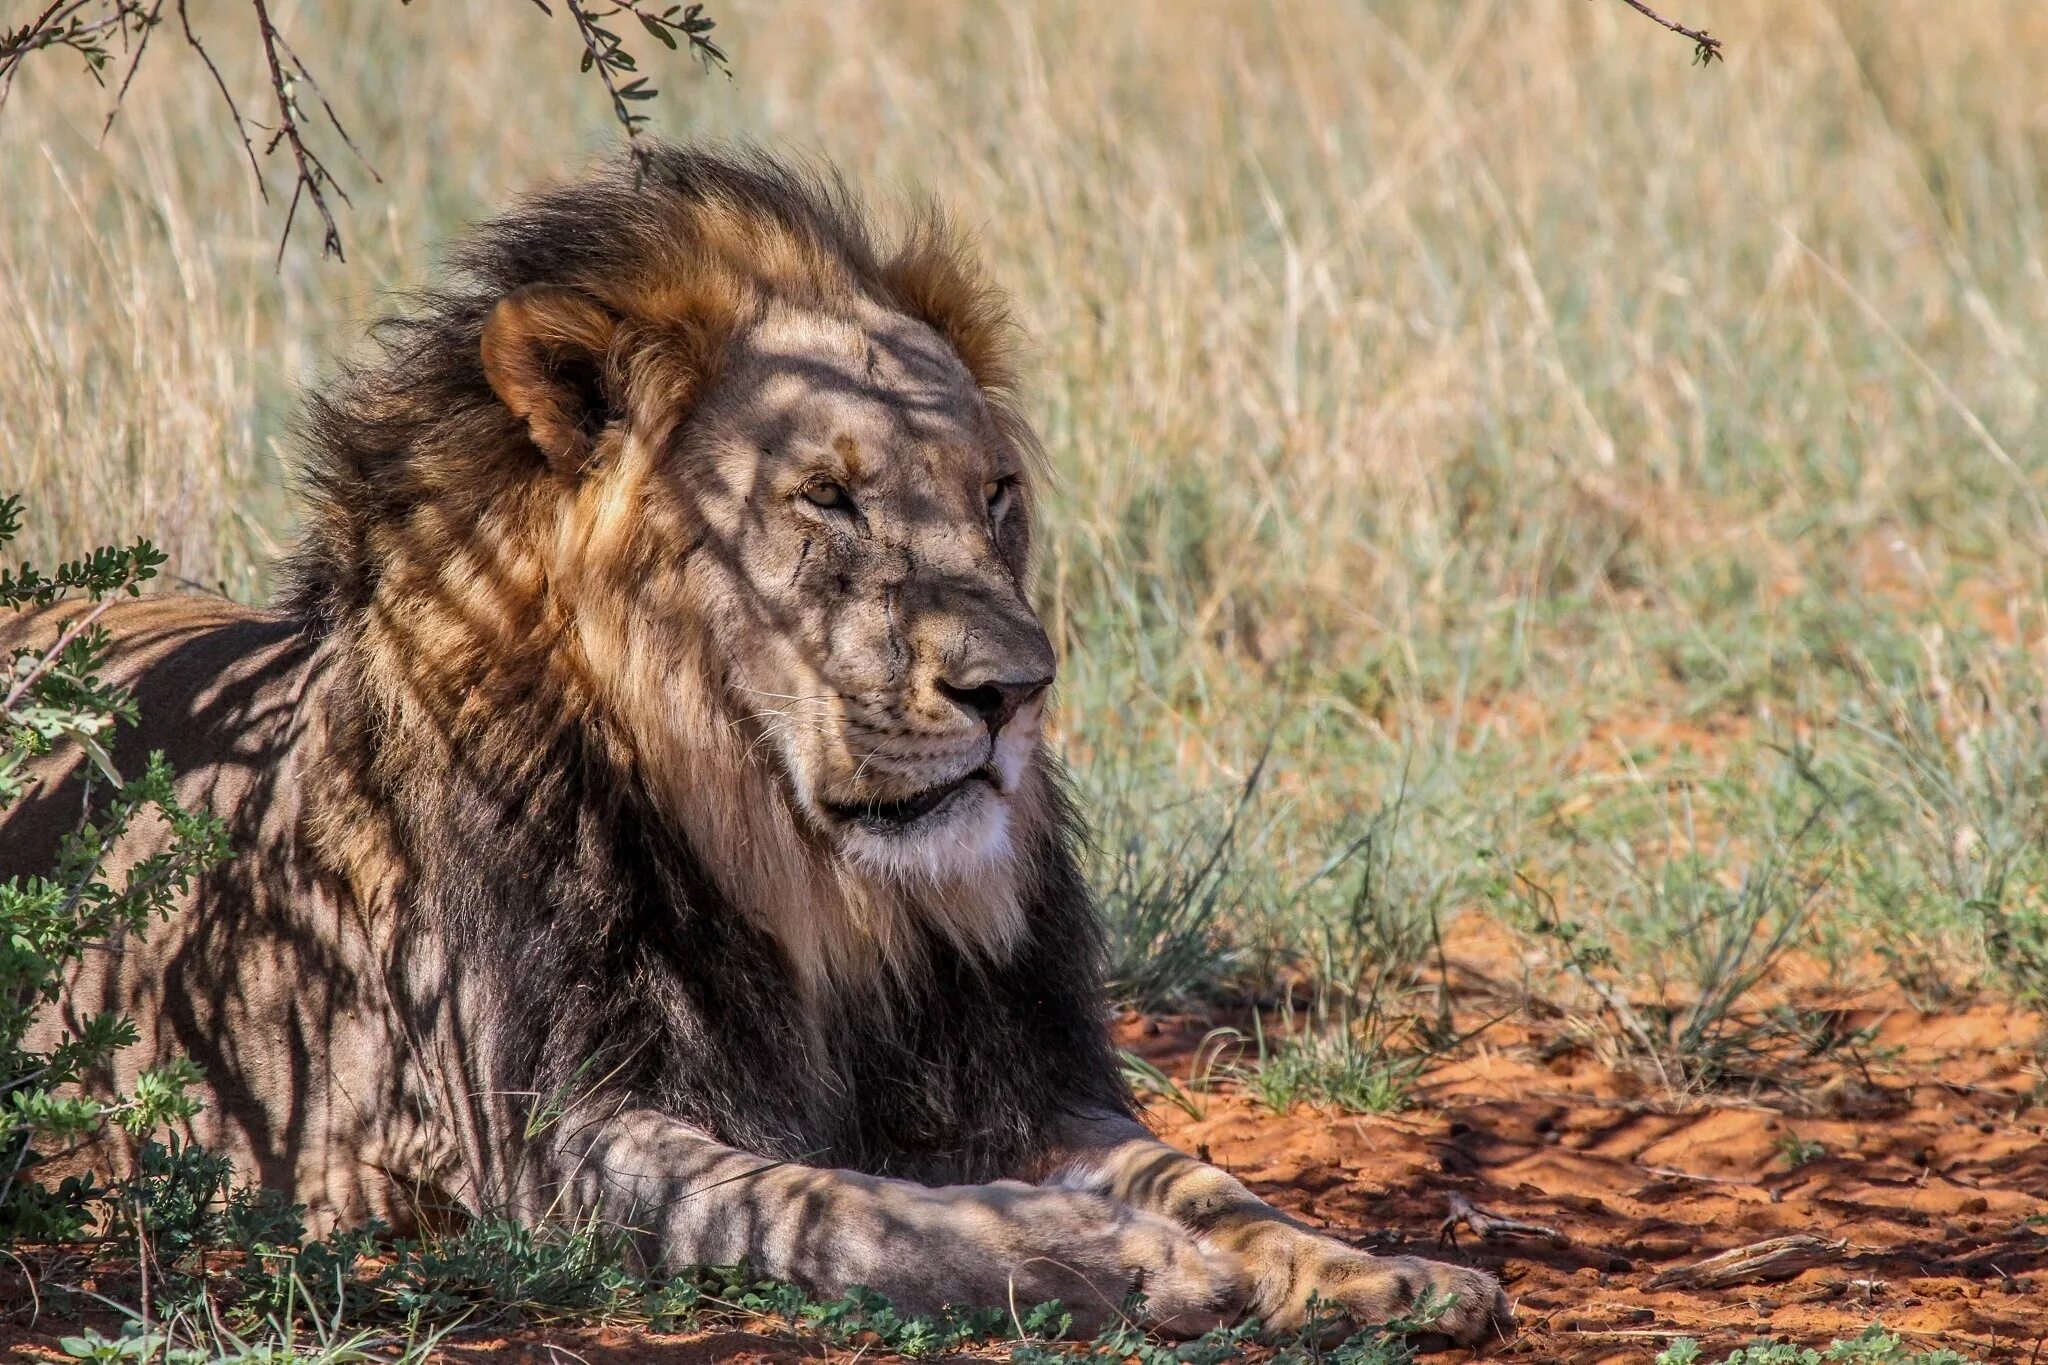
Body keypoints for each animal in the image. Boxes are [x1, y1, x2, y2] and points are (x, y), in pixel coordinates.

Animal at [8, 144, 1515, 1342]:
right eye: (828, 500)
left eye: (996, 494)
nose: (1016, 689)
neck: (807, 876)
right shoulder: (543, 1136)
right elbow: (848, 1208)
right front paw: (1109, 1258)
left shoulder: (1020, 1077)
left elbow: (1200, 1171)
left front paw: (1372, 1269)